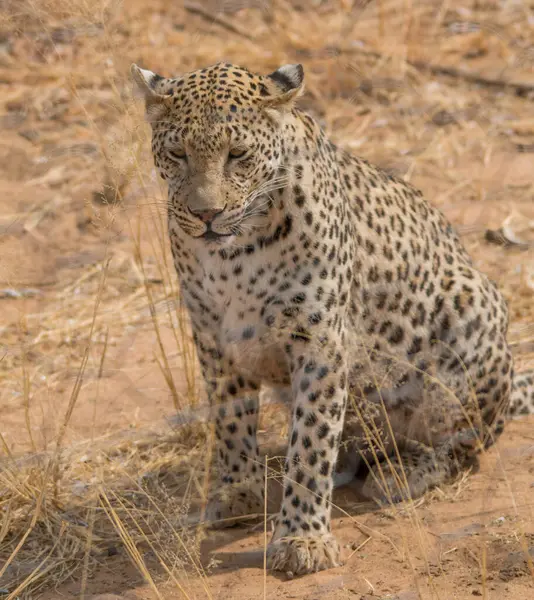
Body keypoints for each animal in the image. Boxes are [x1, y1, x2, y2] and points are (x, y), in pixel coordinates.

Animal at [131, 61, 534, 576]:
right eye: (177, 154)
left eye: (237, 155)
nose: (206, 215)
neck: (233, 257)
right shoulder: (214, 337)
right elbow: (230, 421)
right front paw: (239, 492)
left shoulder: (318, 338)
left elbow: (311, 441)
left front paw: (303, 539)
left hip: (472, 308)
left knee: (465, 442)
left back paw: (401, 472)